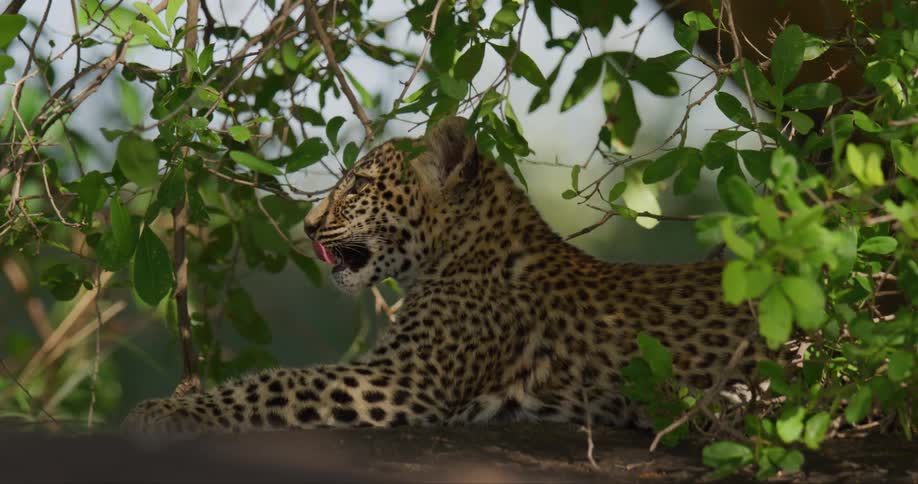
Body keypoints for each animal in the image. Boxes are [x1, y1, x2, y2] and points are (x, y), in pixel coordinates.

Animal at [122, 116, 769, 436]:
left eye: (358, 186)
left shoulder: (407, 377)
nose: (306, 227)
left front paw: (167, 412)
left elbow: (277, 384)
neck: (461, 251)